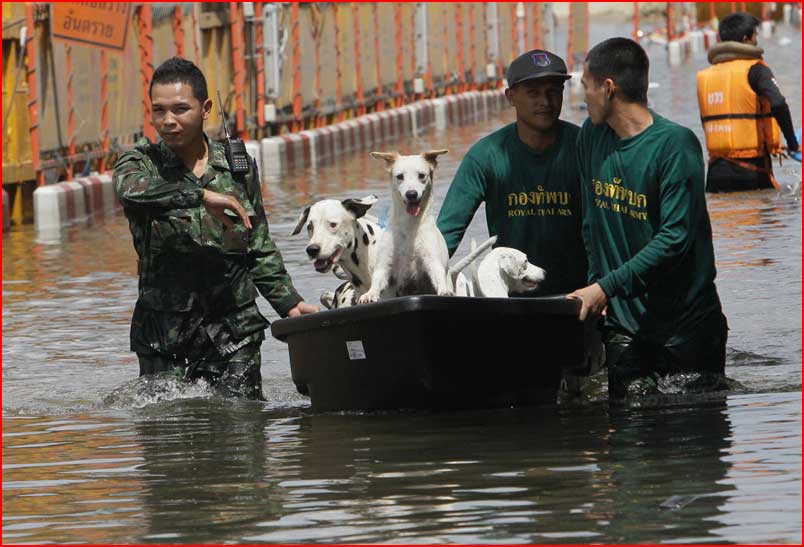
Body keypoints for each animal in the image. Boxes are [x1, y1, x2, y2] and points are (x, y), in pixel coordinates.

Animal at [362, 150, 456, 304]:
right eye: (400, 176)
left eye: (422, 175)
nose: (411, 194)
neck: (410, 226)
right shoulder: (384, 265)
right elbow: (377, 279)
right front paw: (369, 294)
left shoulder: (432, 261)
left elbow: (438, 274)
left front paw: (444, 291)